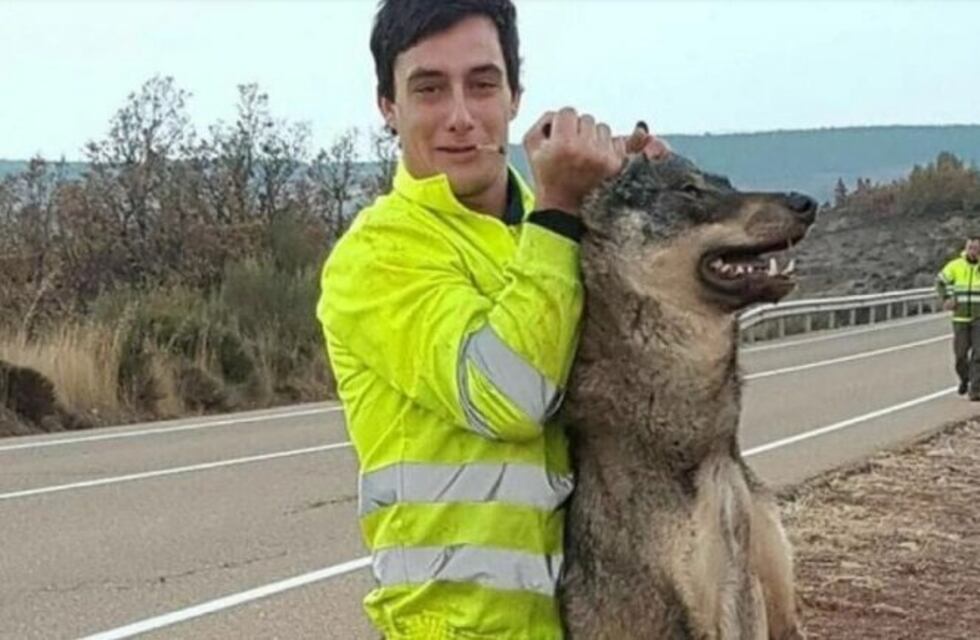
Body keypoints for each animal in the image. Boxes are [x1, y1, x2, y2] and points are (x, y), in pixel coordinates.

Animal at [558, 152, 816, 639]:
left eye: (726, 183)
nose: (806, 202)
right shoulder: (691, 612)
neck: (709, 447)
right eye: (689, 190)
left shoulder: (775, 603)